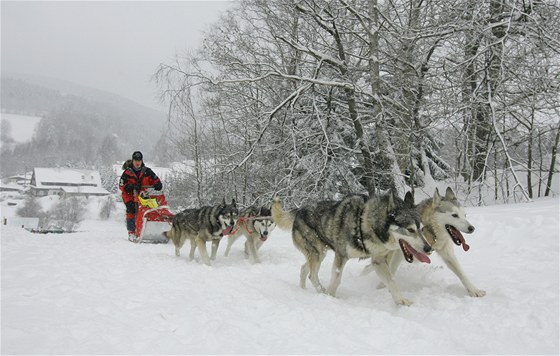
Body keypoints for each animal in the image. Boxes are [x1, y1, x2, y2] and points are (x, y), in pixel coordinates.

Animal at [272, 192, 434, 306]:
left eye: (421, 228)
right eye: (410, 230)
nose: (429, 248)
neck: (366, 223)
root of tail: (299, 210)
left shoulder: (379, 261)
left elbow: (392, 280)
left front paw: (401, 301)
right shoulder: (341, 255)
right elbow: (336, 279)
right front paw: (330, 297)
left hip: (319, 254)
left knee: (304, 269)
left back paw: (303, 290)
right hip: (317, 253)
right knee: (312, 275)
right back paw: (322, 292)